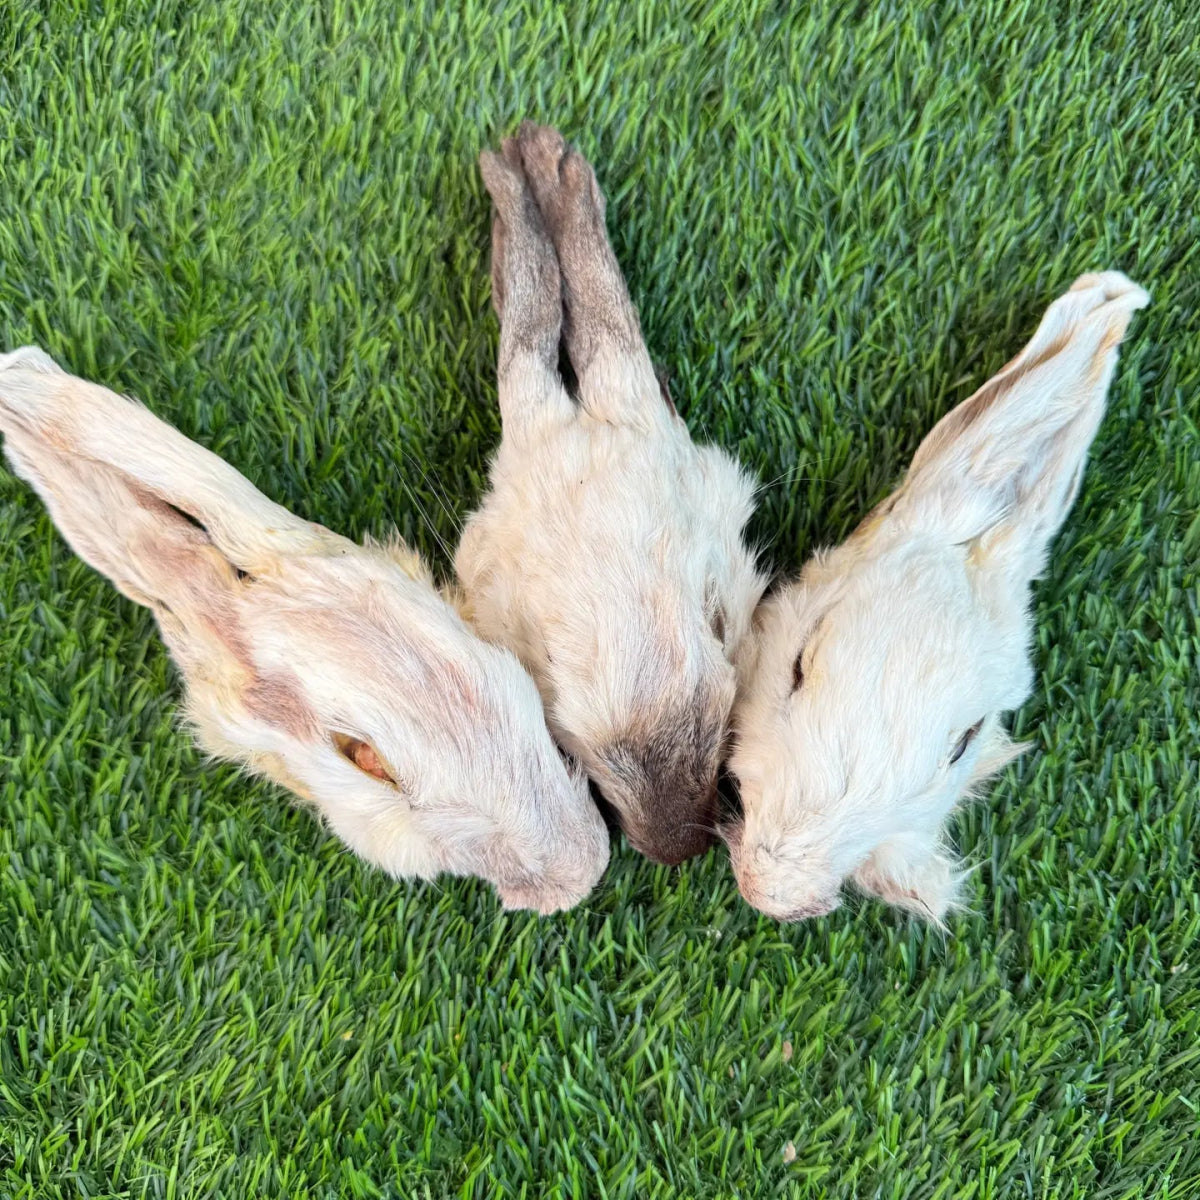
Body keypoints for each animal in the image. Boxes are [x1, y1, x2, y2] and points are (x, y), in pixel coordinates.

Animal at [455, 123, 766, 865]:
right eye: (584, 764)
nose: (678, 849)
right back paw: (535, 164)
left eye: (720, 738)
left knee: (556, 327)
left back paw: (534, 165)